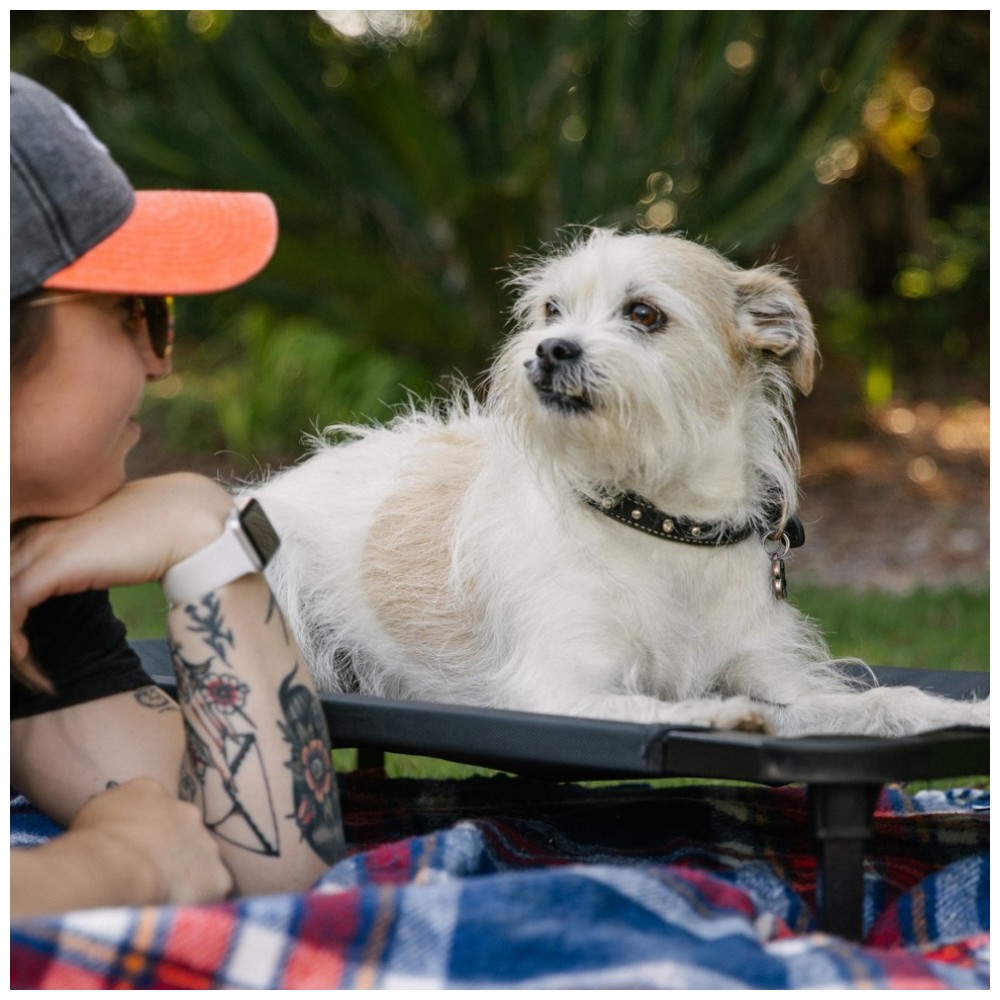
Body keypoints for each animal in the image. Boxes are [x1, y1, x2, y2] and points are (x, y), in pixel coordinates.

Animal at [248, 230, 984, 740]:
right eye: (551, 310)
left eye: (644, 313)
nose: (549, 350)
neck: (667, 522)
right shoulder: (558, 692)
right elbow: (659, 705)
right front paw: (722, 715)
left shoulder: (780, 678)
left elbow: (878, 701)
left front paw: (965, 711)